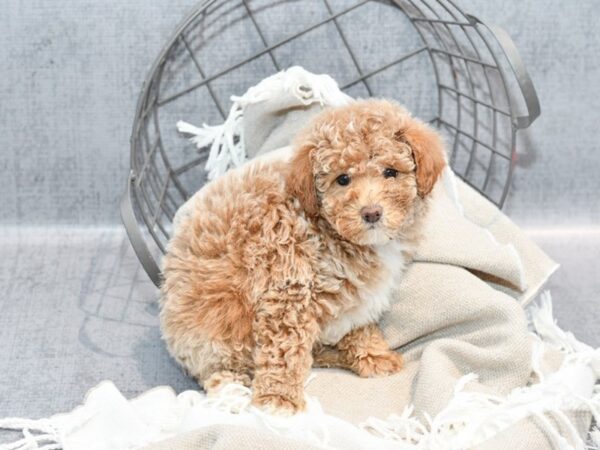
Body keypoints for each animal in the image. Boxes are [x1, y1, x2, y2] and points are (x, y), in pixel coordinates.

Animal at [159, 99, 446, 414]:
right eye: (342, 179)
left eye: (390, 172)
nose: (371, 212)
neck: (328, 229)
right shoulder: (286, 290)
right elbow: (284, 352)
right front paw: (278, 401)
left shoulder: (356, 294)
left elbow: (359, 326)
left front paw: (373, 355)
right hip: (219, 332)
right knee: (223, 373)